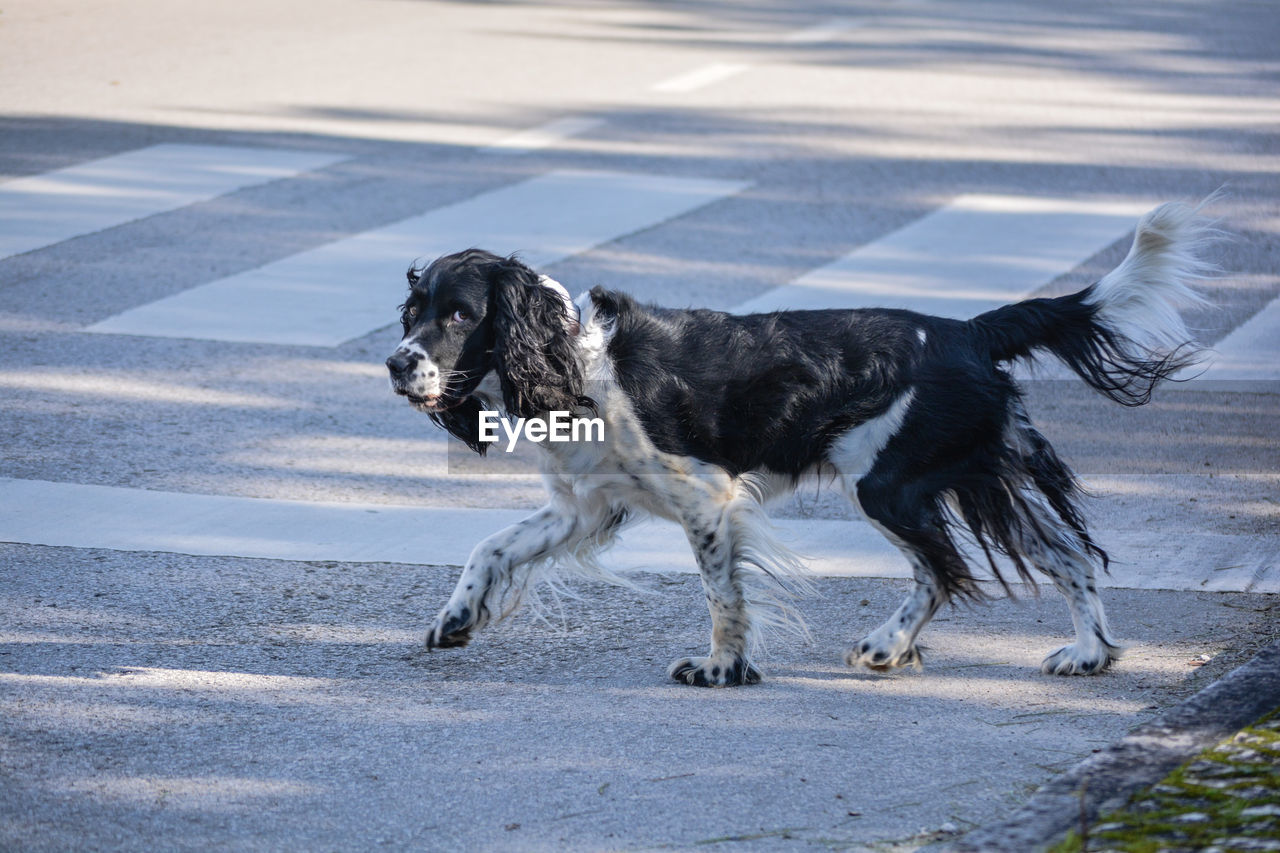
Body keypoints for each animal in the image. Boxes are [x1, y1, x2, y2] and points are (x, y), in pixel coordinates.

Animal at [386, 199, 1208, 686]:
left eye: (460, 315)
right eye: (413, 309)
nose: (394, 362)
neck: (576, 364)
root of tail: (967, 330)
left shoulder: (705, 498)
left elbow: (722, 594)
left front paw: (722, 667)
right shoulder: (582, 506)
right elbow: (489, 547)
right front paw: (456, 619)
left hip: (887, 484)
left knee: (942, 571)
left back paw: (888, 645)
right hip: (965, 473)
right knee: (1067, 557)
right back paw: (1086, 653)